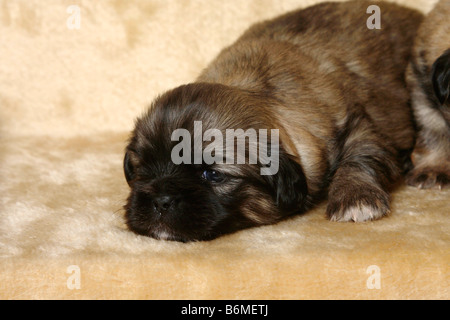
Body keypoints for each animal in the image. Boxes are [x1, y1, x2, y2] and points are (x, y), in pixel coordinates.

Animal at [125, 0, 424, 242]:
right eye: (144, 169)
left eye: (213, 174)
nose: (160, 201)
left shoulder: (358, 124)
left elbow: (361, 156)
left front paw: (356, 198)